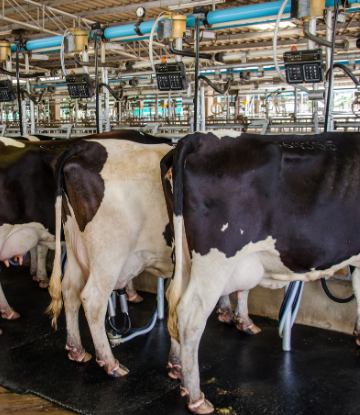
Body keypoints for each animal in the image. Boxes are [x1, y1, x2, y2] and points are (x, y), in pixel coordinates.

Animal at [46, 140, 174, 376]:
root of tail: (86, 145)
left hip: (75, 244)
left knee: (70, 289)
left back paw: (77, 350)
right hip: (108, 254)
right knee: (92, 299)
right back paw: (110, 363)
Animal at [164, 132, 360, 414]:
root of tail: (203, 137)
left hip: (182, 253)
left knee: (173, 299)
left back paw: (177, 367)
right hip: (216, 259)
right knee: (189, 315)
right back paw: (195, 395)